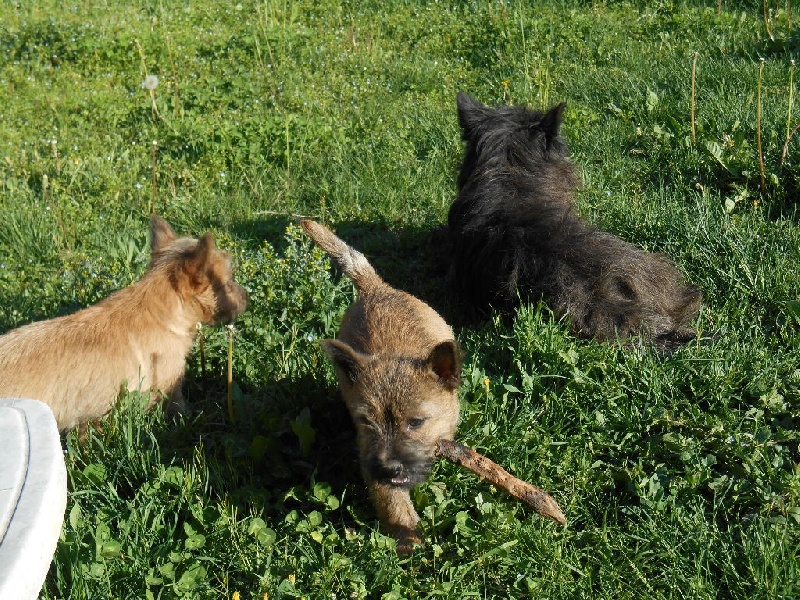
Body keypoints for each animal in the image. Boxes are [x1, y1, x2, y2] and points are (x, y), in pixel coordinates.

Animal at [302, 220, 462, 552]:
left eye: (416, 422)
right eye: (366, 421)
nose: (389, 468)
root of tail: (376, 287)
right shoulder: (369, 454)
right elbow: (392, 501)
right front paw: (408, 538)